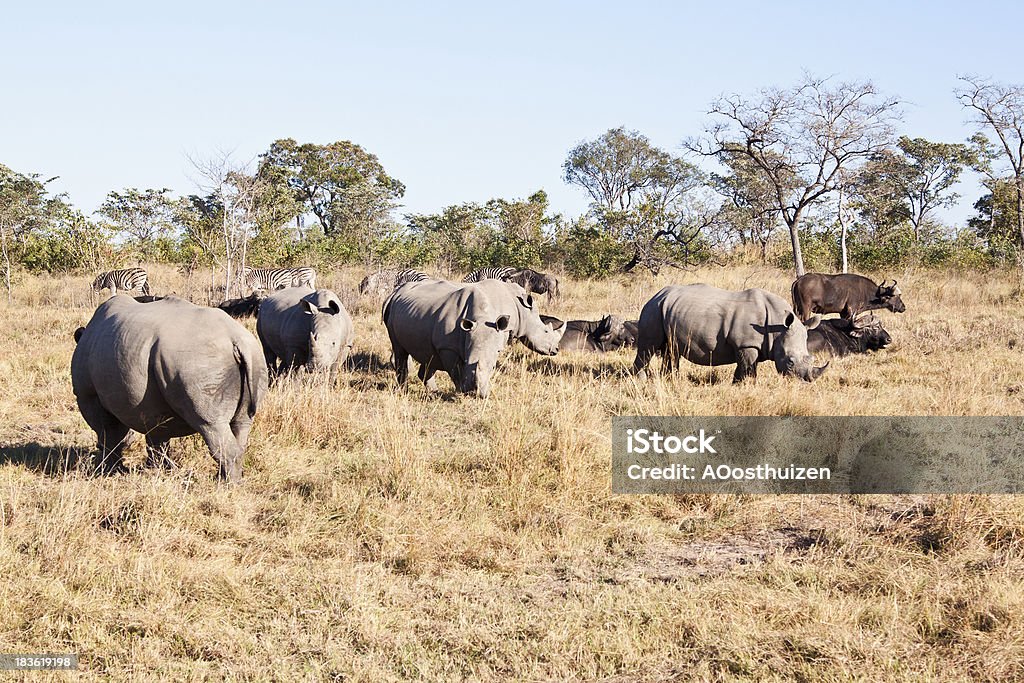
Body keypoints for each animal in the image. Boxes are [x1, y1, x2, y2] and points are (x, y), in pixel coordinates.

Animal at [71, 294, 268, 481]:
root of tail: (235, 340)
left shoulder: (88, 395)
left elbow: (109, 433)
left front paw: (110, 471)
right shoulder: (150, 405)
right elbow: (157, 436)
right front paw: (157, 470)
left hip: (198, 363)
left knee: (211, 424)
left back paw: (225, 485)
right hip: (253, 356)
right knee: (242, 422)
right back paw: (226, 479)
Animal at [630, 280, 831, 382]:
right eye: (790, 361)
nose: (807, 381)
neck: (778, 326)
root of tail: (657, 294)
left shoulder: (747, 345)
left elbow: (744, 368)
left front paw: (740, 385)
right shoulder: (746, 344)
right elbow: (748, 368)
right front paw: (747, 385)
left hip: (666, 309)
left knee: (671, 350)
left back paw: (671, 380)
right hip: (653, 309)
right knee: (648, 347)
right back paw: (641, 381)